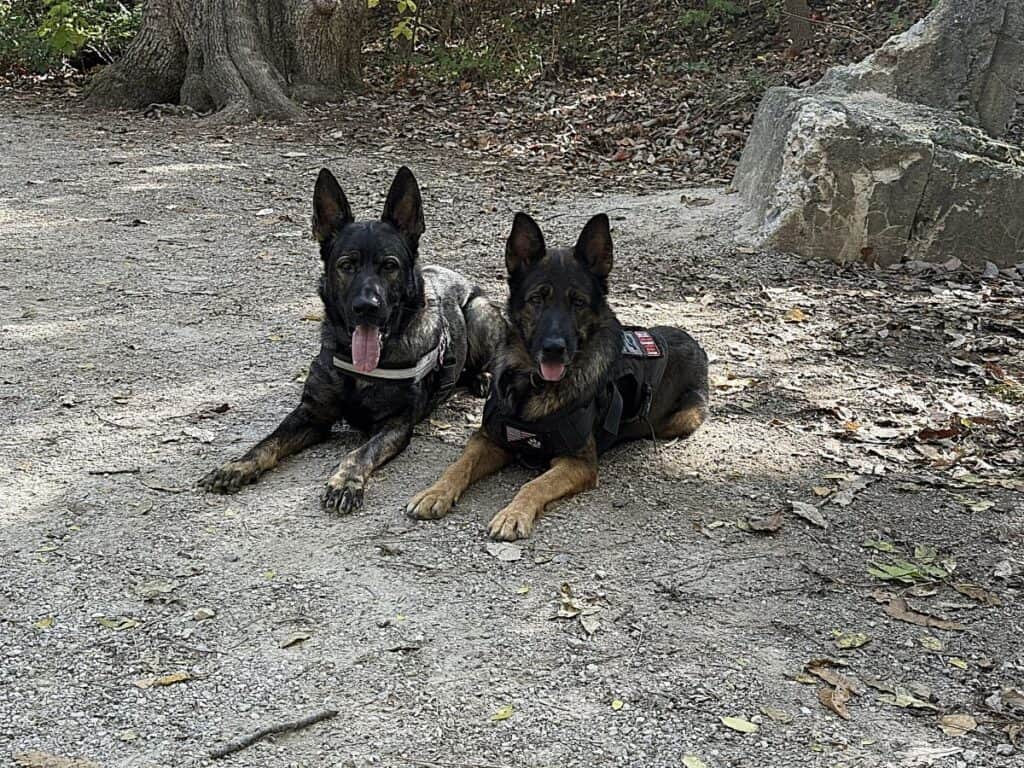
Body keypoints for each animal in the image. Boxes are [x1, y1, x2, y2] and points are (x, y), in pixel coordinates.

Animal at [197, 168, 501, 518]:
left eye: (389, 266)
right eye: (346, 265)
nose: (366, 306)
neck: (363, 369)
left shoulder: (395, 425)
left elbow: (360, 453)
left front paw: (345, 482)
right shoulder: (310, 415)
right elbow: (267, 442)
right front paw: (238, 465)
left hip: (478, 312)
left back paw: (482, 377)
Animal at [403, 210, 708, 540]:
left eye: (578, 302)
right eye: (537, 299)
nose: (554, 349)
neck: (533, 386)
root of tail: (693, 342)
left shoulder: (577, 463)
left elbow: (535, 484)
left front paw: (513, 514)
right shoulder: (489, 439)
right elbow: (459, 465)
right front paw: (435, 493)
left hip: (684, 418)